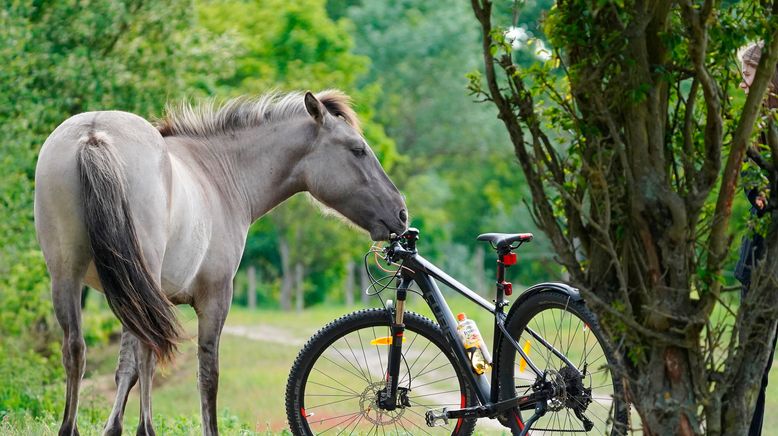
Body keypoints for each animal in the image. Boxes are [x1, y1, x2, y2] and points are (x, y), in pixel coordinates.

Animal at [31, 90, 406, 434]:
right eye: (357, 149)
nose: (400, 213)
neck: (217, 174)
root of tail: (94, 135)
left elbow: (125, 368)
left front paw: (112, 429)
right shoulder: (214, 298)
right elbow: (206, 373)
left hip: (67, 277)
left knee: (76, 349)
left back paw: (69, 428)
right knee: (147, 353)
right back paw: (146, 429)